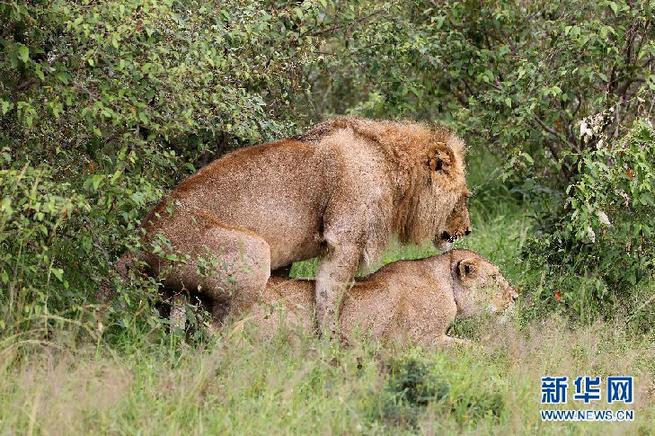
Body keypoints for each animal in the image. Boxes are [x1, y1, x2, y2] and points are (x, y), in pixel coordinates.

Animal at [123, 116, 472, 334]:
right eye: (465, 196)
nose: (468, 230)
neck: (394, 170)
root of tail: (139, 242)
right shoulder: (344, 241)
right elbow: (331, 301)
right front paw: (332, 345)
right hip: (254, 251)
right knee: (215, 332)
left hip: (181, 291)